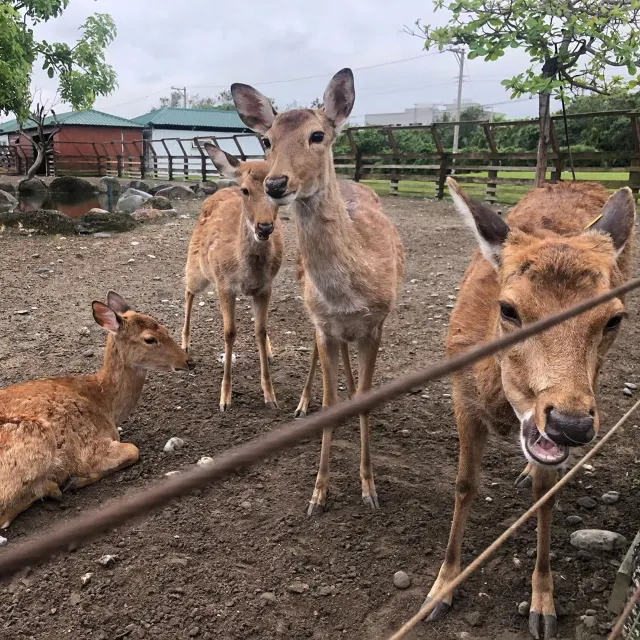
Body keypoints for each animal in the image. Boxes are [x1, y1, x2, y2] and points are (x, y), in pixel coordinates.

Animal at [0, 292, 195, 528]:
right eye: (149, 339)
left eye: (165, 329)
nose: (189, 361)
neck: (105, 404)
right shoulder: (90, 445)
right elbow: (133, 450)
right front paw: (75, 479)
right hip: (36, 435)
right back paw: (55, 486)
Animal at [181, 144, 284, 410]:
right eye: (245, 190)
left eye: (276, 192)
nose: (264, 227)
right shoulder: (224, 284)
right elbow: (229, 333)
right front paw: (225, 399)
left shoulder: (265, 287)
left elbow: (261, 330)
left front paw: (270, 396)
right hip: (197, 266)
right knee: (188, 291)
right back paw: (185, 343)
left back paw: (270, 350)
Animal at [231, 69, 404, 516]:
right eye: (266, 140)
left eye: (317, 135)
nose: (276, 183)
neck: (349, 292)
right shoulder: (325, 324)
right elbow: (329, 403)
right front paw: (318, 494)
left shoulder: (376, 322)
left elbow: (365, 396)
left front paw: (370, 490)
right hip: (313, 312)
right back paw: (301, 403)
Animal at [424, 179, 636, 640]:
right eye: (507, 308)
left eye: (614, 318)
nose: (570, 425)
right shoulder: (461, 396)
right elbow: (464, 485)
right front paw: (440, 590)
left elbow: (546, 494)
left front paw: (543, 604)